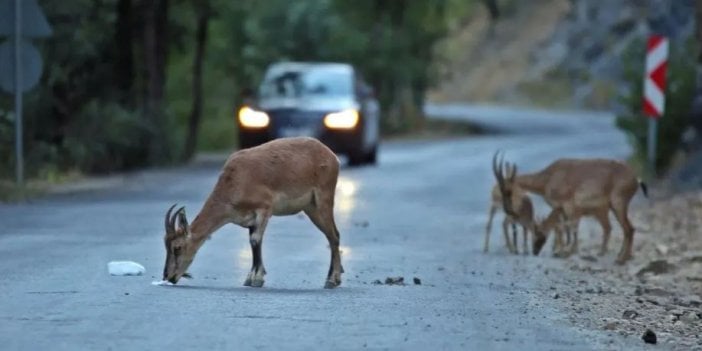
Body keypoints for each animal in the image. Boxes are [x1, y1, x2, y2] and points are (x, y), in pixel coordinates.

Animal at [160, 138, 346, 288]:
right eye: (166, 246)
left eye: (177, 247)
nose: (168, 276)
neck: (235, 182)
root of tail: (332, 157)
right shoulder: (250, 219)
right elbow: (253, 242)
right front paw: (250, 278)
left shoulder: (264, 209)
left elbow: (256, 240)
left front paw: (256, 280)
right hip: (311, 208)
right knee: (332, 235)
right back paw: (336, 277)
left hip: (324, 200)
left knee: (334, 235)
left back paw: (331, 280)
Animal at [496, 151, 648, 264]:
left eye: (507, 190)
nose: (508, 210)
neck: (548, 178)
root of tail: (636, 179)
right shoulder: (561, 209)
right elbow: (563, 228)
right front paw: (561, 251)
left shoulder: (568, 206)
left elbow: (570, 227)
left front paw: (565, 252)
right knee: (622, 228)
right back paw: (619, 256)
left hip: (618, 205)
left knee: (629, 228)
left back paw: (621, 259)